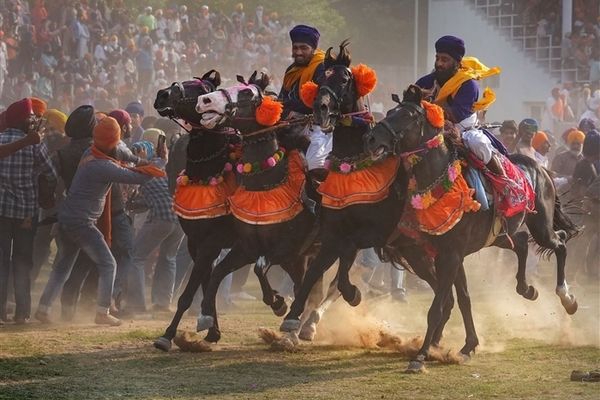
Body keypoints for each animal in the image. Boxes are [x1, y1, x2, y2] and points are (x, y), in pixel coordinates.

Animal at [195, 71, 322, 338]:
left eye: (246, 93)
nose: (204, 100)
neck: (266, 184)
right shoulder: (248, 247)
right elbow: (218, 273)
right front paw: (205, 317)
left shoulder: (287, 248)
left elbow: (260, 268)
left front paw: (278, 303)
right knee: (305, 283)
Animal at [364, 84, 580, 372]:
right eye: (389, 112)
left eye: (407, 115)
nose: (371, 139)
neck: (439, 180)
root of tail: (542, 169)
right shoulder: (448, 255)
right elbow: (463, 298)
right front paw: (467, 345)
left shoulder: (451, 256)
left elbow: (438, 306)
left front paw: (421, 355)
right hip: (500, 235)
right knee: (523, 242)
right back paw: (527, 289)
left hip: (541, 227)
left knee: (560, 243)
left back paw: (567, 298)